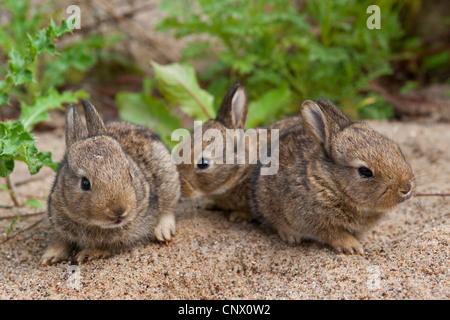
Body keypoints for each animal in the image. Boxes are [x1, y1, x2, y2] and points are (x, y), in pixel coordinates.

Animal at [40, 100, 180, 264]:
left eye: (130, 175)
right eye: (85, 183)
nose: (119, 210)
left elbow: (108, 246)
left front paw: (89, 253)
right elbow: (60, 239)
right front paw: (49, 257)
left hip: (169, 178)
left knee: (168, 209)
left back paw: (163, 232)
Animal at [250, 99, 414, 254]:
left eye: (397, 149)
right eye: (365, 171)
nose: (406, 188)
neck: (333, 182)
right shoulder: (315, 221)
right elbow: (334, 234)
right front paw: (353, 247)